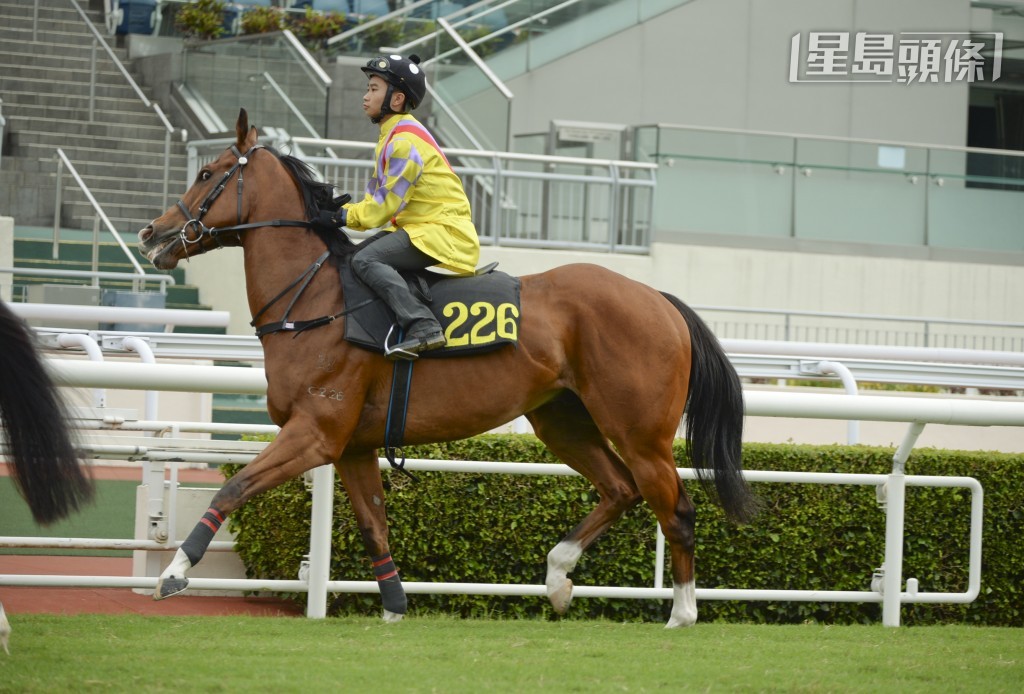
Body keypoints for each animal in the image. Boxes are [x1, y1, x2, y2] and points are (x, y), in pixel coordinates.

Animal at [137, 109, 757, 628]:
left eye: (207, 172)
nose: (152, 233)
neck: (315, 301)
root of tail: (659, 299)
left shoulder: (315, 431)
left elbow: (233, 488)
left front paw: (173, 573)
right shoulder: (354, 445)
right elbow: (374, 527)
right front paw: (394, 607)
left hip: (640, 432)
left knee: (677, 510)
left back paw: (681, 614)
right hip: (562, 420)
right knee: (619, 489)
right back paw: (558, 576)